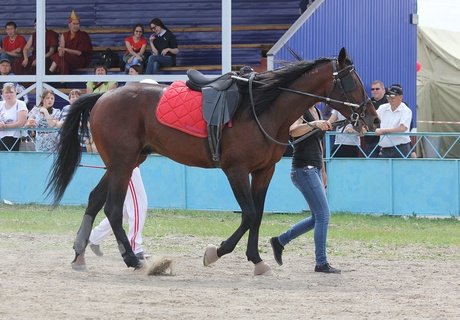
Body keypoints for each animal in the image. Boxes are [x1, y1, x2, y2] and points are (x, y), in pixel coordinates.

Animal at [47, 47, 378, 276]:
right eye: (351, 81)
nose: (373, 118)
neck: (260, 107)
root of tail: (103, 98)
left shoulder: (264, 171)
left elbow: (257, 215)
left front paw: (256, 259)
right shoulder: (236, 170)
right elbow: (247, 214)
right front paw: (217, 252)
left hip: (123, 163)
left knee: (94, 200)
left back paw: (80, 255)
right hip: (123, 163)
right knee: (113, 209)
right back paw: (131, 259)